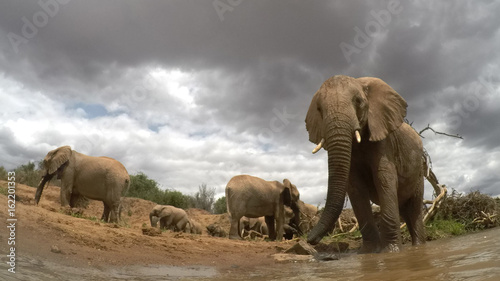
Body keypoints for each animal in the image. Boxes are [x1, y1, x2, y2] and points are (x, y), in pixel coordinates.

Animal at [304, 75, 426, 253]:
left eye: (358, 101)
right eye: (319, 109)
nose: (309, 239)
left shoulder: (384, 141)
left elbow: (384, 179)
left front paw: (391, 252)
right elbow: (355, 188)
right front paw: (370, 252)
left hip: (419, 173)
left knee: (414, 209)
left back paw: (418, 247)